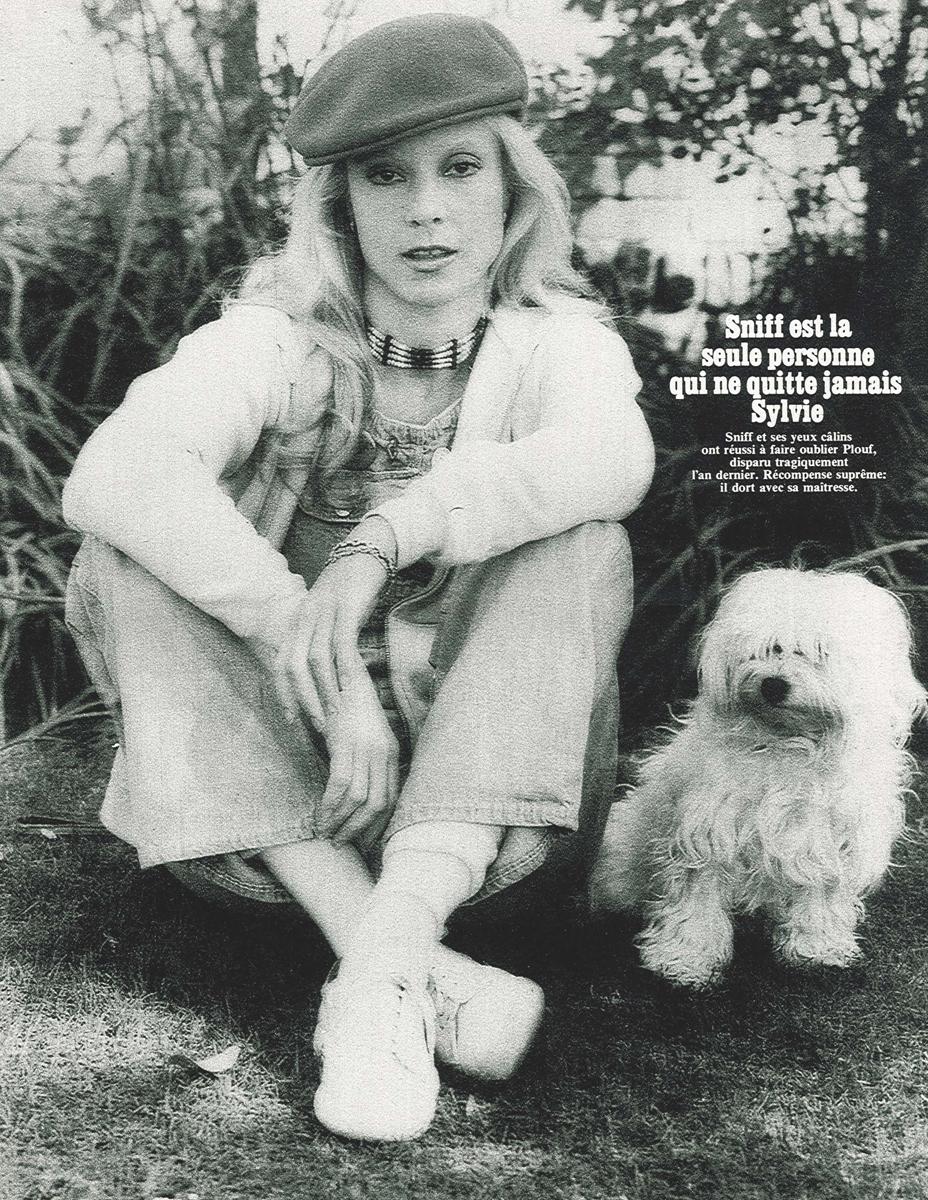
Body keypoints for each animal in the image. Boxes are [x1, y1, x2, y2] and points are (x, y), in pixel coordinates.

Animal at [591, 568, 926, 988]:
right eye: (771, 648)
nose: (773, 684)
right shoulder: (710, 835)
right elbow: (697, 900)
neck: (789, 744)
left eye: (820, 653)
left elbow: (819, 898)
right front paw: (685, 958)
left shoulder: (824, 841)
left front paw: (818, 948)